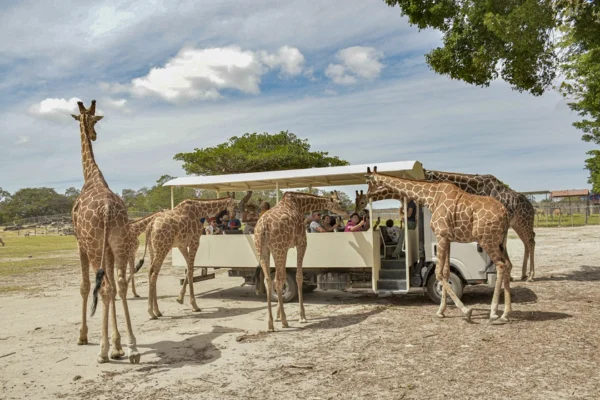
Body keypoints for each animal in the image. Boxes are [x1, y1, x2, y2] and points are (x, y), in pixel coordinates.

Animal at [70, 101, 141, 364]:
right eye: (92, 120)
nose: (94, 135)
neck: (91, 176)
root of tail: (108, 209)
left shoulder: (80, 244)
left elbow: (84, 286)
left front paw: (83, 337)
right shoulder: (109, 248)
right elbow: (111, 285)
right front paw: (117, 345)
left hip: (93, 245)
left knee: (103, 287)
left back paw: (101, 352)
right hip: (118, 243)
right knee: (118, 284)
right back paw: (132, 348)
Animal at [254, 191, 346, 332]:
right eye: (340, 202)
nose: (346, 213)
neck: (299, 205)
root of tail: (263, 227)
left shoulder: (286, 247)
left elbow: (282, 278)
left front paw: (278, 315)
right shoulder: (302, 243)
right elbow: (299, 277)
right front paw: (302, 316)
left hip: (263, 250)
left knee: (268, 280)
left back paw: (270, 324)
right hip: (278, 248)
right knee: (278, 280)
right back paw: (284, 321)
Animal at [366, 167, 510, 324]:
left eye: (368, 181)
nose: (367, 196)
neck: (431, 197)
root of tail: (505, 213)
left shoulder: (441, 235)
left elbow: (438, 273)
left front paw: (466, 311)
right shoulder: (448, 238)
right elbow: (445, 272)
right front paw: (441, 311)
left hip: (487, 239)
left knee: (501, 265)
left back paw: (494, 312)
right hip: (501, 241)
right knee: (508, 265)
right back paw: (505, 313)